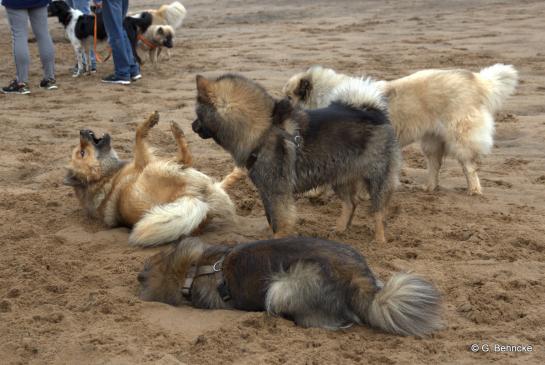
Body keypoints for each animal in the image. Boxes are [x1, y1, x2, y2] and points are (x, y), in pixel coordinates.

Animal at [62, 112, 243, 246]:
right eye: (82, 153)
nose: (81, 131)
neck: (107, 175)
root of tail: (190, 198)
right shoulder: (143, 160)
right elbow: (137, 134)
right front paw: (150, 121)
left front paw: (239, 172)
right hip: (156, 168)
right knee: (186, 159)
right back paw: (177, 131)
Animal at [191, 74, 400, 242]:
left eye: (197, 113)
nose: (192, 126)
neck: (263, 131)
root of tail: (373, 111)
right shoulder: (266, 190)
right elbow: (271, 219)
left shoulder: (277, 191)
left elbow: (280, 220)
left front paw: (279, 240)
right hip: (339, 175)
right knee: (351, 203)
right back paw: (340, 230)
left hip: (375, 178)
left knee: (378, 211)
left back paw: (379, 241)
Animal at [284, 64, 520, 195]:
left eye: (288, 97)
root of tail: (476, 80)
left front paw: (316, 194)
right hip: (432, 140)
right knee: (435, 164)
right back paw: (429, 187)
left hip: (459, 136)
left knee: (468, 165)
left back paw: (474, 189)